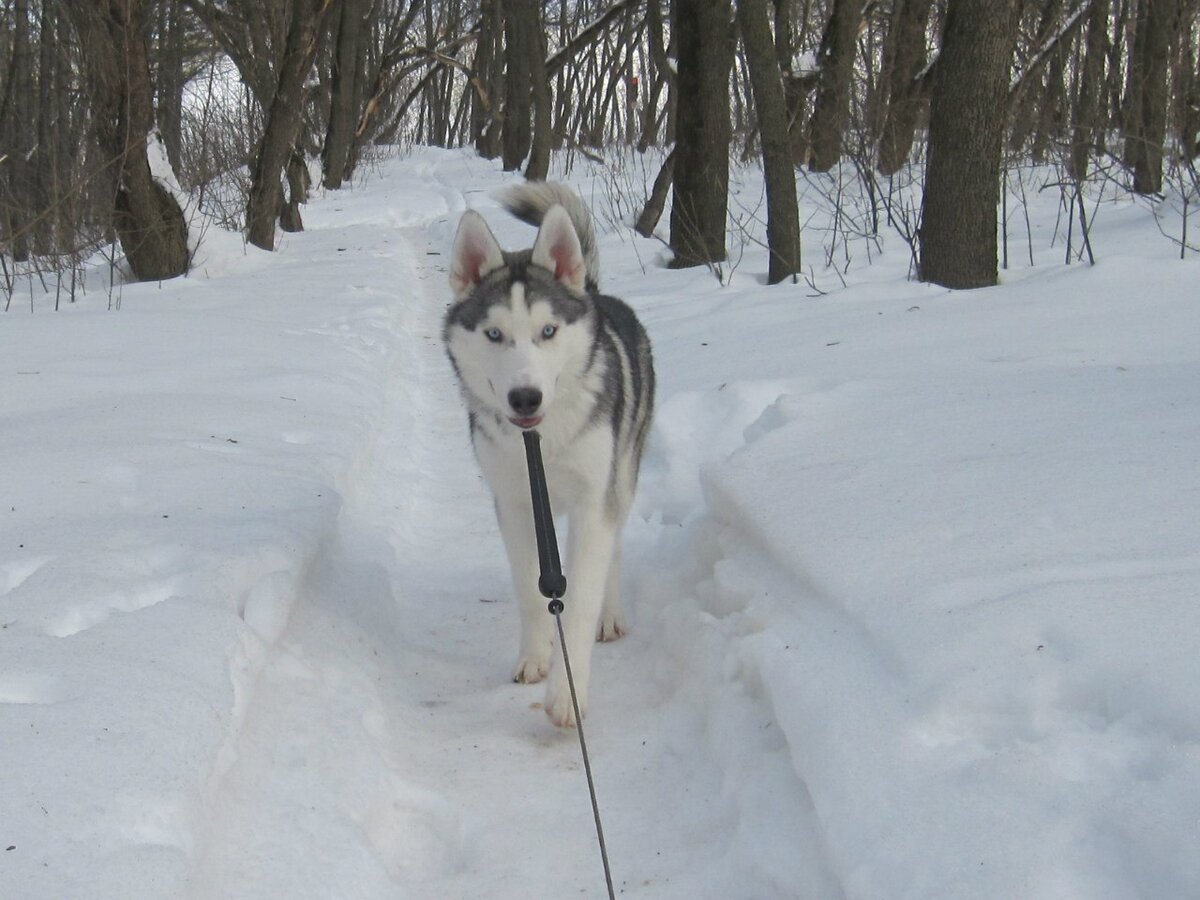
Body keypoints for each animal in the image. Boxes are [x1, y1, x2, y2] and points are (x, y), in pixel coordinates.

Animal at [444, 183, 652, 724]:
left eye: (549, 331)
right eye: (494, 334)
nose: (525, 398)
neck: (541, 443)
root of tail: (592, 291)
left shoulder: (593, 502)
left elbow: (578, 598)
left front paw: (566, 694)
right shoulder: (514, 503)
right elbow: (529, 587)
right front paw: (536, 658)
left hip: (622, 473)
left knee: (614, 551)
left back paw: (611, 615)